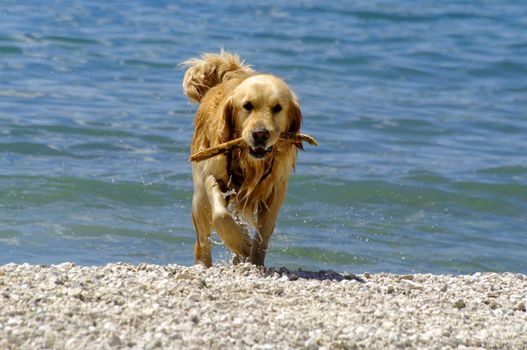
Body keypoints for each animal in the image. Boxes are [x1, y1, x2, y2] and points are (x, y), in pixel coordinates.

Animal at [184, 50, 304, 266]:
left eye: (277, 108)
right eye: (247, 106)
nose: (260, 134)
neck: (250, 163)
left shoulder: (275, 190)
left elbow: (263, 233)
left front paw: (255, 260)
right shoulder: (213, 175)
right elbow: (220, 215)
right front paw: (242, 243)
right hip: (199, 198)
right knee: (202, 239)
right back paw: (204, 264)